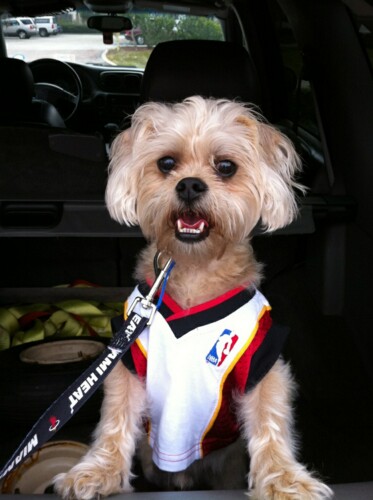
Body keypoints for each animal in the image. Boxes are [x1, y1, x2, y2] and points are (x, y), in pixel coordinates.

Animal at [53, 95, 332, 498]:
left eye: (226, 167)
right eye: (166, 163)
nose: (188, 185)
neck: (195, 268)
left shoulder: (261, 360)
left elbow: (270, 420)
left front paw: (285, 480)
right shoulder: (129, 360)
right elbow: (115, 417)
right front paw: (98, 471)